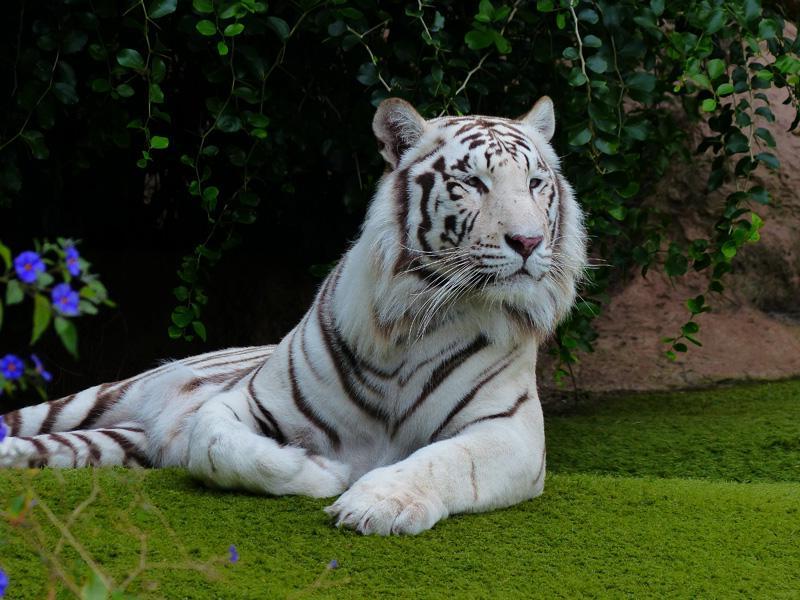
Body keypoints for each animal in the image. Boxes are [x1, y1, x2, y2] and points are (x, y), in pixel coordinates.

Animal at [0, 96, 586, 535]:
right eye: (473, 184)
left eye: (535, 184)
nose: (529, 242)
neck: (413, 321)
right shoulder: (244, 401)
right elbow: (217, 446)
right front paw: (326, 473)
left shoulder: (512, 433)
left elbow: (444, 460)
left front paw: (375, 503)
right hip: (97, 396)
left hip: (113, 444)